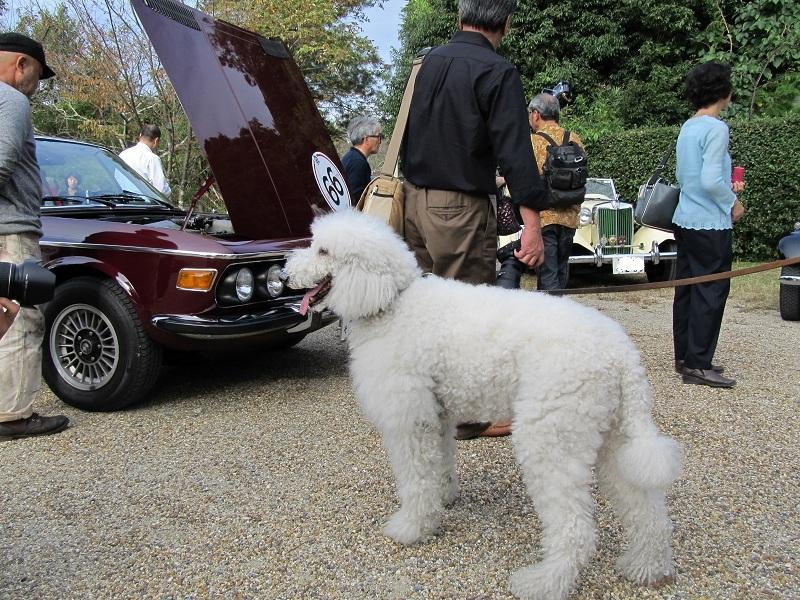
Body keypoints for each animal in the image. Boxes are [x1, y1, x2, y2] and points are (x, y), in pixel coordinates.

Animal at [284, 209, 682, 600]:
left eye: (323, 252)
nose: (286, 275)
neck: (393, 301)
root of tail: (622, 353)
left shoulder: (410, 421)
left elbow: (416, 480)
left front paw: (411, 527)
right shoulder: (437, 415)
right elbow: (440, 464)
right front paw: (443, 499)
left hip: (551, 437)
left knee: (575, 529)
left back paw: (544, 583)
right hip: (610, 436)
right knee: (647, 508)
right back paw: (646, 567)